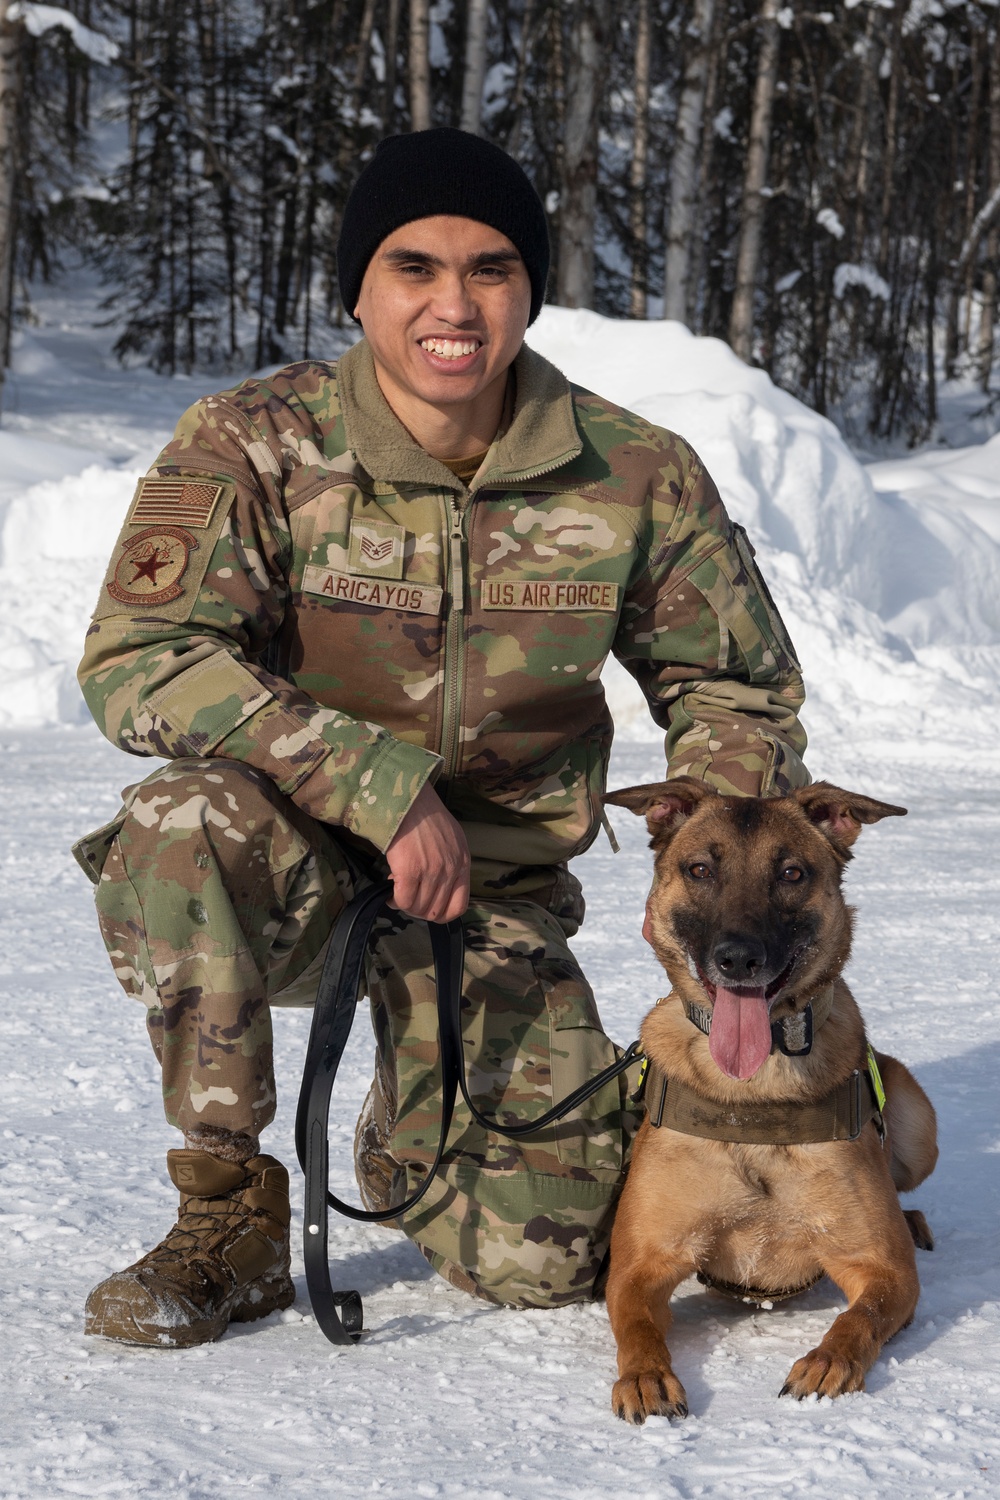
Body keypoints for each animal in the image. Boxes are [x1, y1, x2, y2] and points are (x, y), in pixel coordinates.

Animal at [602, 780, 941, 1422]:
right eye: (700, 869)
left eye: (790, 873)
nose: (739, 958)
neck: (751, 1095)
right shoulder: (640, 1264)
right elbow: (636, 1323)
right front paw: (645, 1375)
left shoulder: (883, 1268)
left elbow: (859, 1317)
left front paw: (827, 1361)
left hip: (918, 1122)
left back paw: (914, 1221)